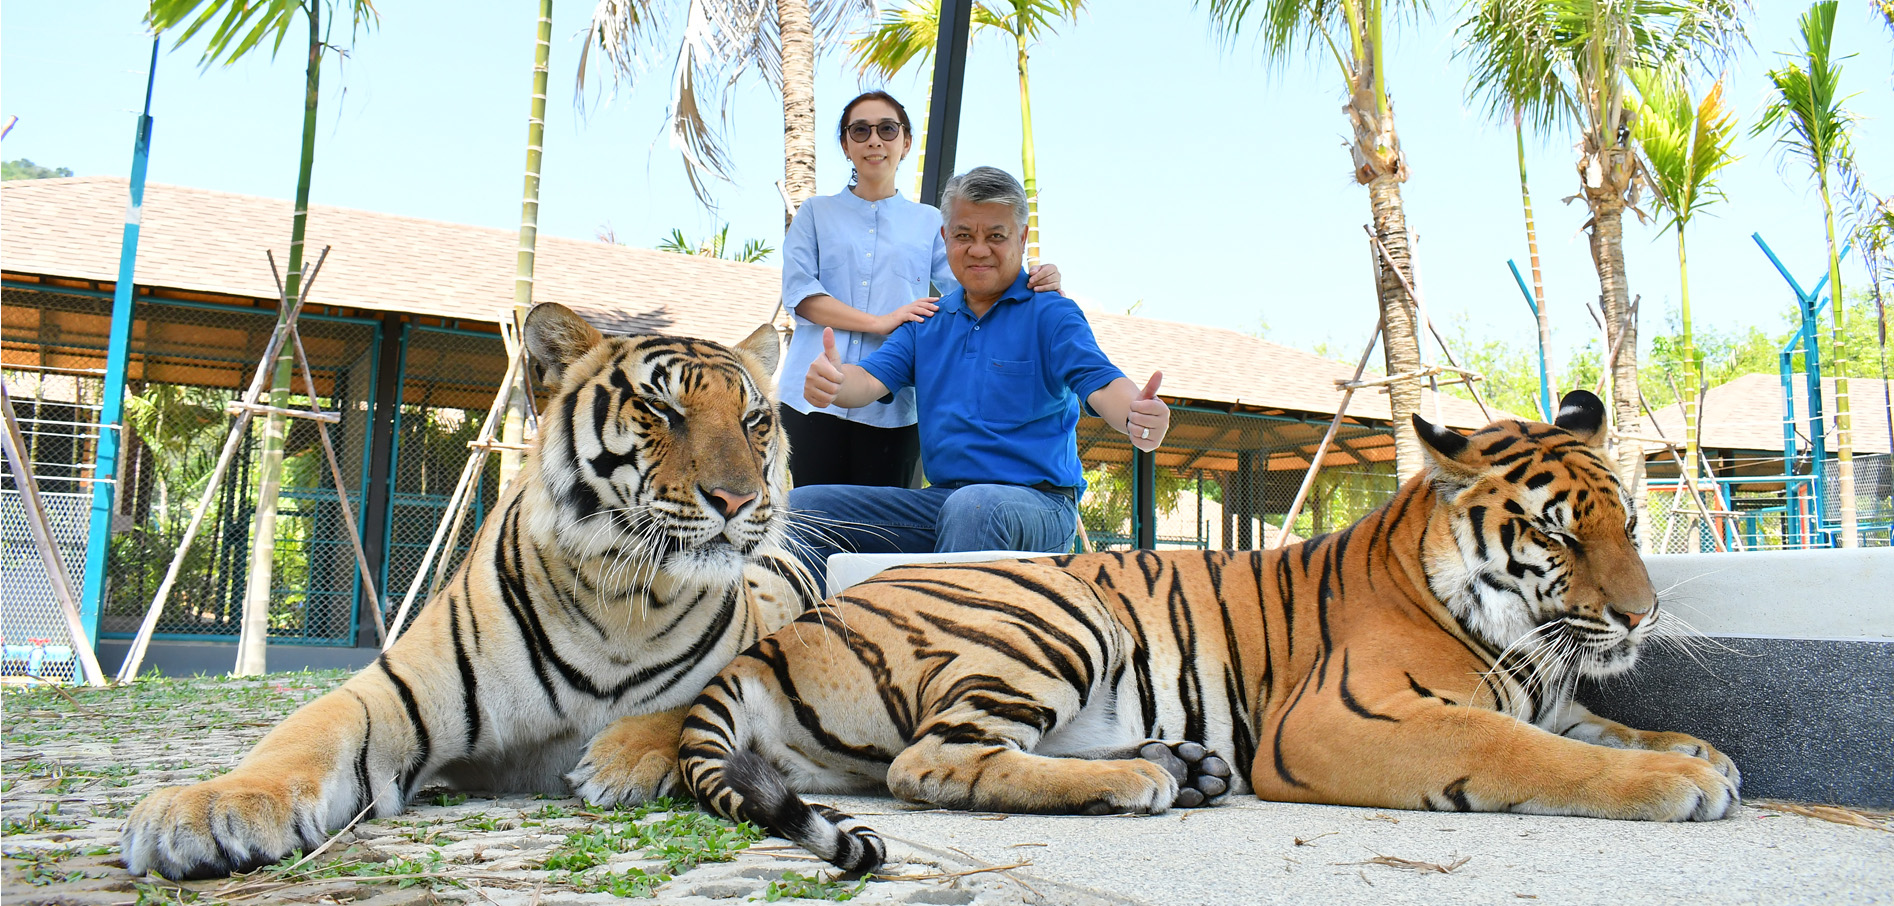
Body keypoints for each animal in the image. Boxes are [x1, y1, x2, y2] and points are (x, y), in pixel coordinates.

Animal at [121, 302, 820, 880]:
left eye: (754, 420)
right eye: (661, 410)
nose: (738, 499)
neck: (625, 601)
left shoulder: (752, 659)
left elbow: (686, 705)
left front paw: (620, 763)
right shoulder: (399, 689)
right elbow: (305, 733)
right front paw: (207, 808)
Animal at [675, 389, 1742, 875]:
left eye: (1631, 524)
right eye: (1559, 532)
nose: (1641, 613)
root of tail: (783, 631)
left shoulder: (1553, 698)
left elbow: (1603, 728)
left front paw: (1698, 750)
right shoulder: (1339, 720)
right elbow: (1526, 749)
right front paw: (1678, 780)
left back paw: (1183, 766)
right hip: (1055, 613)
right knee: (930, 762)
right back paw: (1140, 782)